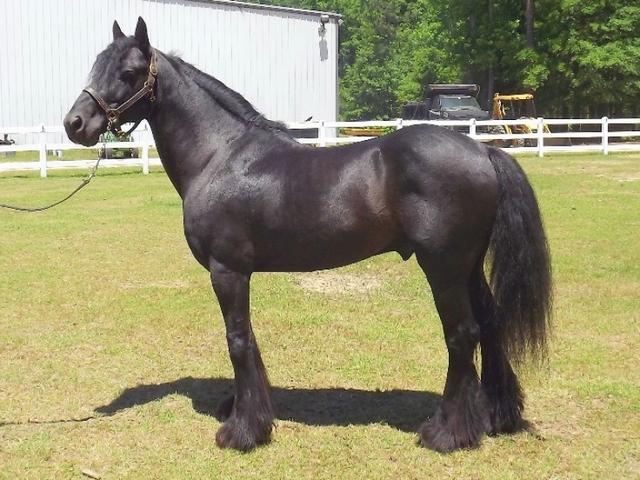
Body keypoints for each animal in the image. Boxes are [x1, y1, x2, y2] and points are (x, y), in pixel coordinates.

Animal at [64, 18, 551, 453]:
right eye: (97, 65)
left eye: (128, 73)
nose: (75, 124)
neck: (219, 155)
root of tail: (483, 150)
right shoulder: (240, 274)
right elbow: (249, 339)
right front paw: (248, 412)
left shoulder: (227, 271)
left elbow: (236, 340)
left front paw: (242, 432)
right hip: (468, 267)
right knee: (490, 325)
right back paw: (495, 416)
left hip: (444, 268)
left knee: (462, 335)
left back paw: (447, 434)